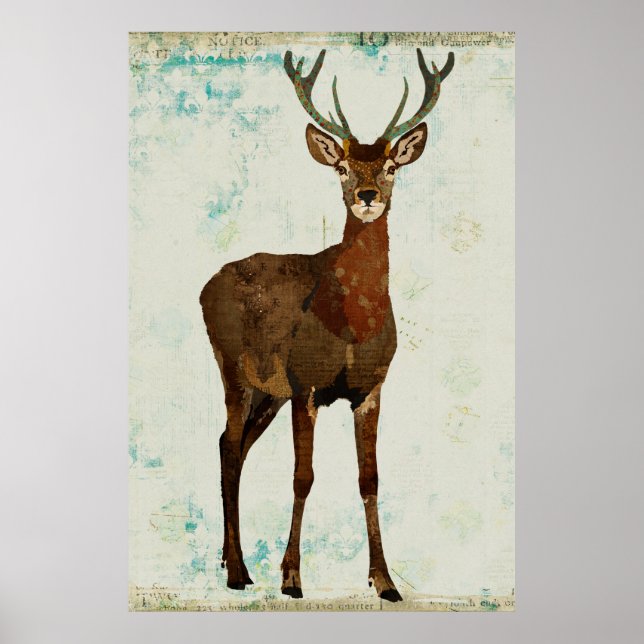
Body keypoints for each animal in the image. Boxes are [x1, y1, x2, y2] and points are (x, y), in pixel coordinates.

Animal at [200, 48, 454, 602]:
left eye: (390, 166)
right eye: (340, 166)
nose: (366, 194)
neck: (351, 324)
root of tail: (206, 285)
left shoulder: (370, 388)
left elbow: (369, 480)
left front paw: (385, 582)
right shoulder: (306, 382)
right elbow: (303, 476)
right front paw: (292, 578)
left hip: (267, 392)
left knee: (235, 446)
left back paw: (235, 564)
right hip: (232, 367)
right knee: (227, 444)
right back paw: (238, 571)